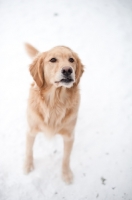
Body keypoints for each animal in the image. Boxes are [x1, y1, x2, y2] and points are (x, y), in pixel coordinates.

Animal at [23, 43, 83, 184]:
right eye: (53, 60)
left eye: (71, 60)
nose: (67, 70)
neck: (55, 103)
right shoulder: (30, 130)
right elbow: (29, 150)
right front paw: (28, 166)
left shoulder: (69, 136)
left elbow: (66, 158)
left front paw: (66, 174)